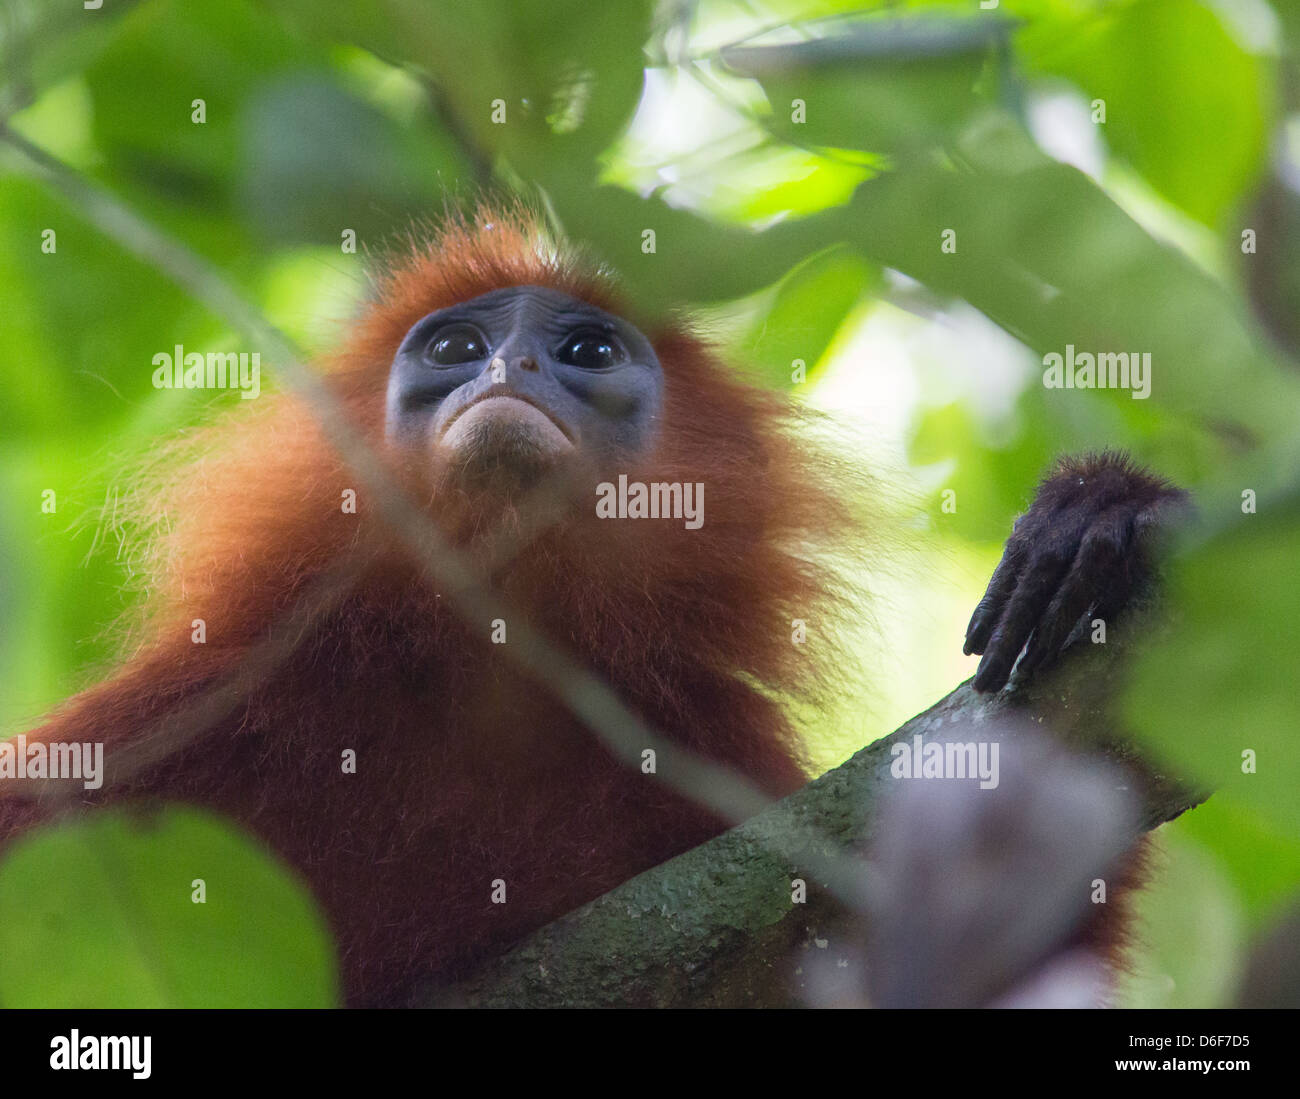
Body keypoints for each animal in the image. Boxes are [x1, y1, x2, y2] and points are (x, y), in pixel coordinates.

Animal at [0, 205, 1185, 1007]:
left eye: (583, 351)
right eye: (453, 349)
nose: (514, 363)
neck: (486, 669)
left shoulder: (708, 769)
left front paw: (1100, 514)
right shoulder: (184, 713)